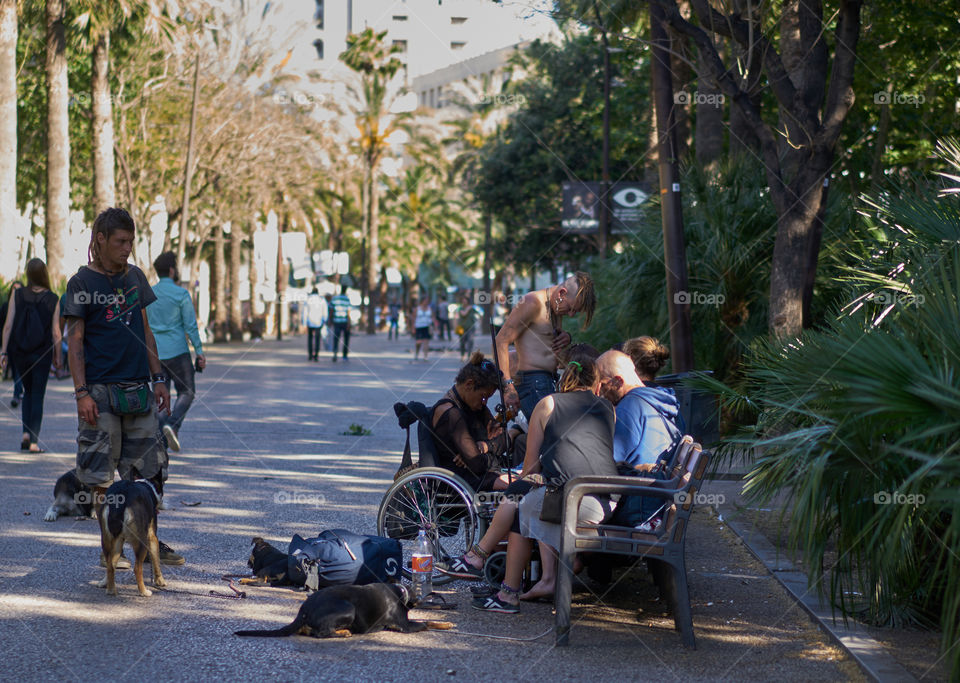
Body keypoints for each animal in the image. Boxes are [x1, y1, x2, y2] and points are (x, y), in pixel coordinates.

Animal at [235, 584, 454, 640]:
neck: (401, 592)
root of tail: (304, 609)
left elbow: (428, 620)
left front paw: (447, 623)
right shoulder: (404, 625)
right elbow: (425, 623)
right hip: (349, 608)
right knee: (321, 633)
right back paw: (344, 633)